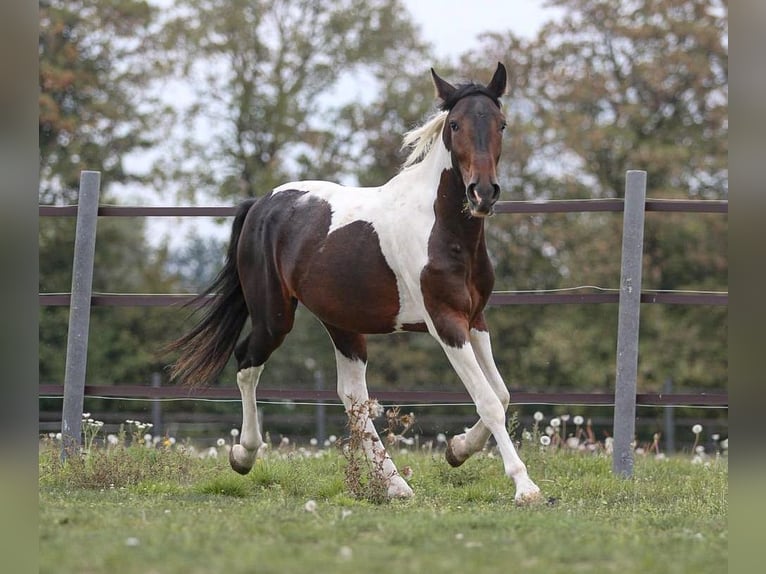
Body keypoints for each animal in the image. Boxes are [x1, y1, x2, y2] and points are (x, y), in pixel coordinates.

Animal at [166, 62, 541, 504]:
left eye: (501, 124)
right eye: (455, 124)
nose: (482, 192)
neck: (446, 231)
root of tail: (261, 203)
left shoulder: (476, 319)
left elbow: (502, 394)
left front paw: (457, 449)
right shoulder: (446, 322)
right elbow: (488, 400)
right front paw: (525, 486)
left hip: (341, 322)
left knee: (352, 396)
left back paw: (395, 485)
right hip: (275, 318)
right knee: (246, 363)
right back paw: (244, 455)